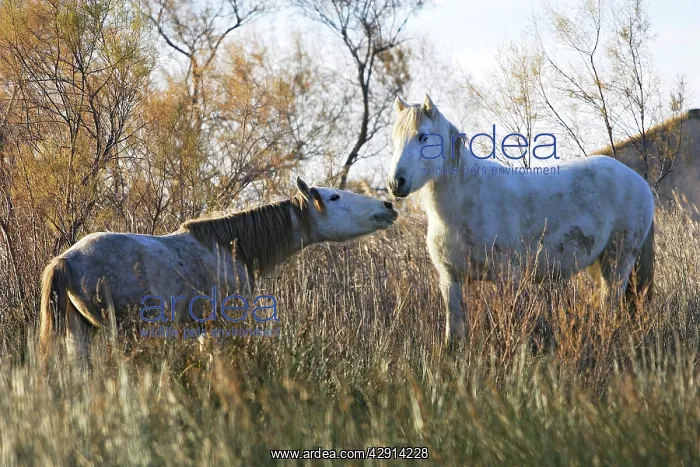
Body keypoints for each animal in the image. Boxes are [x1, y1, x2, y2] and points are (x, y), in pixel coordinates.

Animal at [39, 177, 398, 361]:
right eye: (334, 197)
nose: (388, 206)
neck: (228, 248)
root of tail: (66, 260)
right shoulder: (224, 323)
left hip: (81, 333)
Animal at [387, 94, 655, 345]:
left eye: (423, 137)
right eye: (395, 138)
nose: (396, 183)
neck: (466, 202)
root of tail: (640, 183)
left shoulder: (507, 278)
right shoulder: (451, 279)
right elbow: (454, 331)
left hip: (617, 262)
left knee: (611, 304)